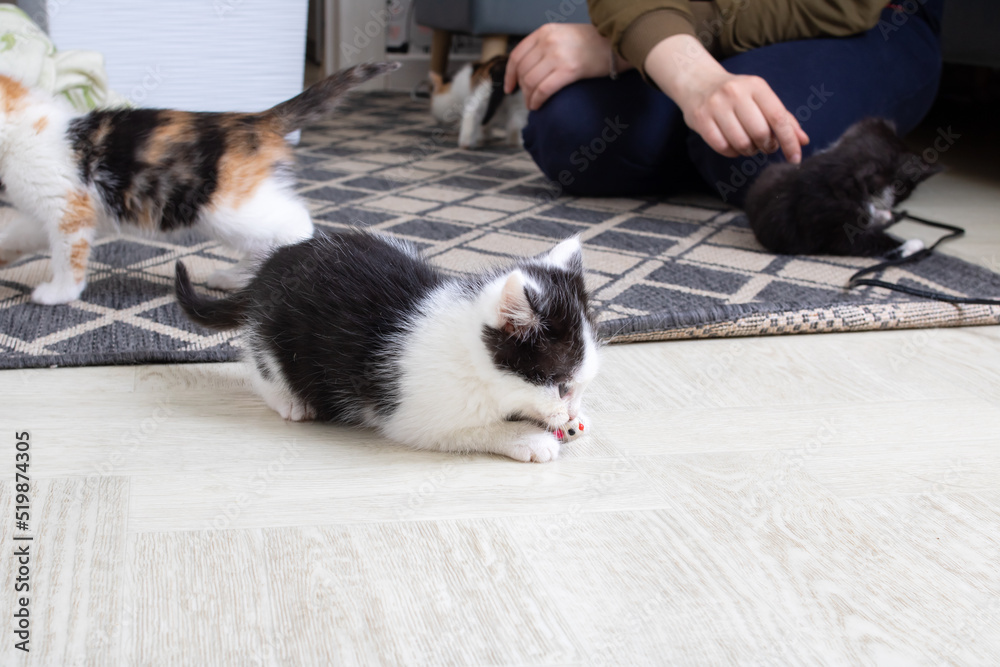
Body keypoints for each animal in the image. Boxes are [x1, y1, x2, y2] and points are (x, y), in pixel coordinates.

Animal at [0, 60, 398, 306]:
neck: (22, 127)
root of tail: (255, 120)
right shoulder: (44, 211)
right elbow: (20, 233)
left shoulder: (69, 210)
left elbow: (68, 256)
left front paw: (59, 293)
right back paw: (236, 278)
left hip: (225, 209)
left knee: (295, 223)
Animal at [173, 230, 596, 464]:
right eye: (561, 385)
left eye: (579, 387)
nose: (574, 412)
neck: (476, 366)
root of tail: (266, 269)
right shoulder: (412, 417)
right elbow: (473, 429)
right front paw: (527, 438)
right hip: (277, 335)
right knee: (261, 361)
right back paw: (290, 400)